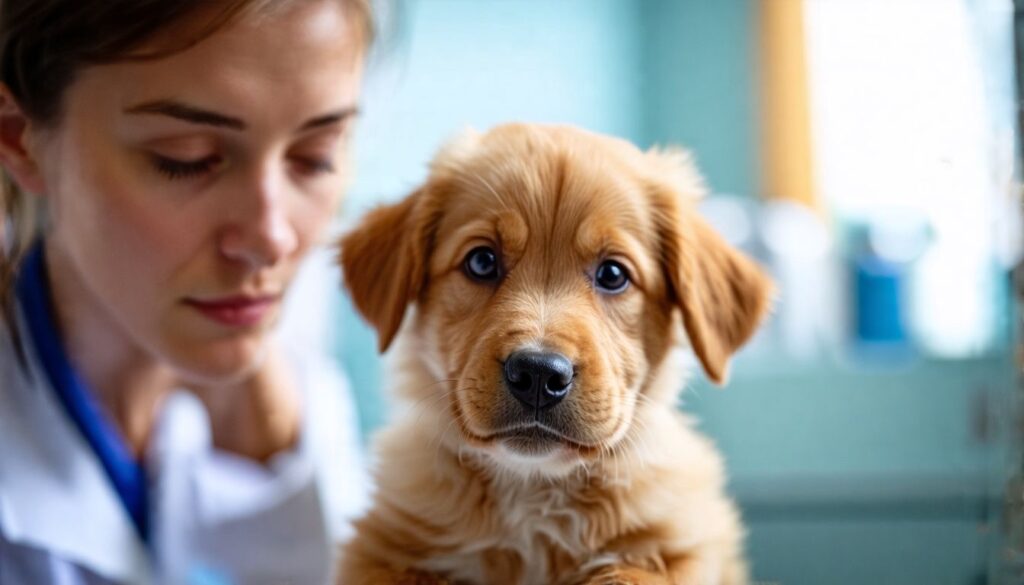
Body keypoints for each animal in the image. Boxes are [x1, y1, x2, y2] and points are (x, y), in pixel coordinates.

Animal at [339, 124, 770, 585]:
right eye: (481, 261)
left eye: (613, 274)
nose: (539, 375)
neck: (535, 492)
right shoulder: (380, 552)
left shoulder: (680, 549)